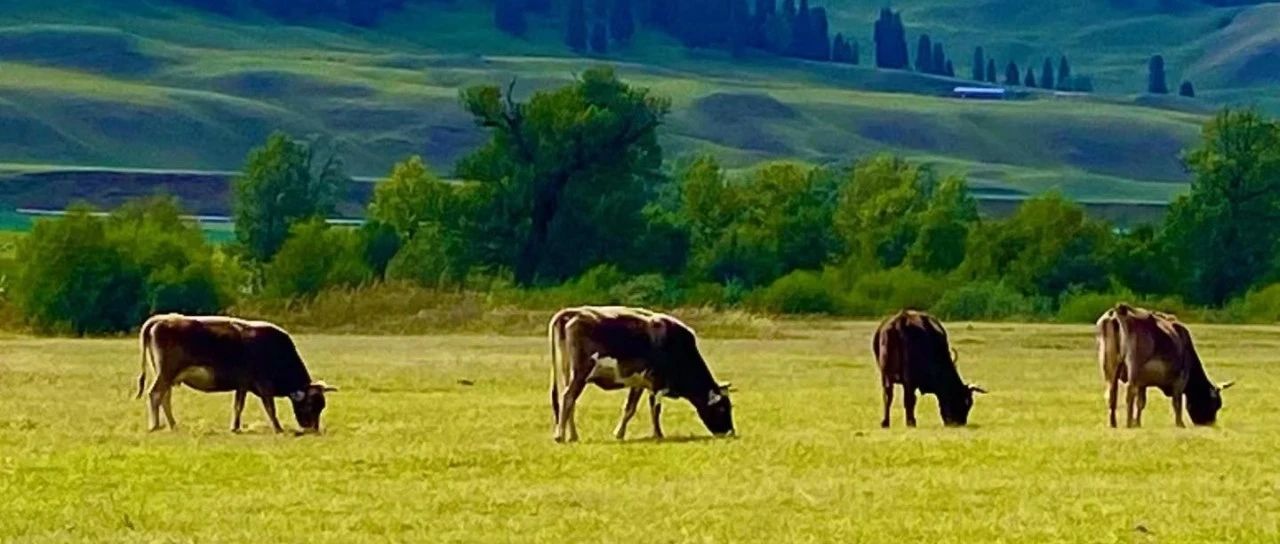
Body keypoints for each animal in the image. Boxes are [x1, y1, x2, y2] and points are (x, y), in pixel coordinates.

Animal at [135, 313, 337, 432]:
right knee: (155, 394)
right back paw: (155, 425)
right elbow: (269, 407)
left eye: (321, 406)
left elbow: (238, 406)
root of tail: (162, 318)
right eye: (310, 405)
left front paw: (235, 427)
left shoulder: (242, 384)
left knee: (165, 397)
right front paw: (278, 428)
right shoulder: (263, 384)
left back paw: (172, 425)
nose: (313, 429)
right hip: (166, 372)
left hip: (168, 375)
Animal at [545, 304, 737, 440]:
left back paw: (572, 435)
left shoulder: (639, 382)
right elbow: (655, 409)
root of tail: (574, 312)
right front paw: (658, 434)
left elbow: (630, 408)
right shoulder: (657, 383)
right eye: (722, 408)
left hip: (567, 373)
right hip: (580, 372)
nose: (730, 432)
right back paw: (560, 435)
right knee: (568, 397)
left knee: (569, 401)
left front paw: (619, 433)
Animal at [1095, 303, 1233, 424]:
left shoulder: (1142, 383)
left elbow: (1141, 403)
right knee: (1130, 393)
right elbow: (1177, 403)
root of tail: (1119, 310)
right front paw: (1180, 424)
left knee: (1111, 393)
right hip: (1133, 365)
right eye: (1215, 405)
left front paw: (1137, 423)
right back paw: (1128, 423)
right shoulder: (1180, 379)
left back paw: (1113, 423)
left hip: (1108, 364)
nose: (1211, 424)